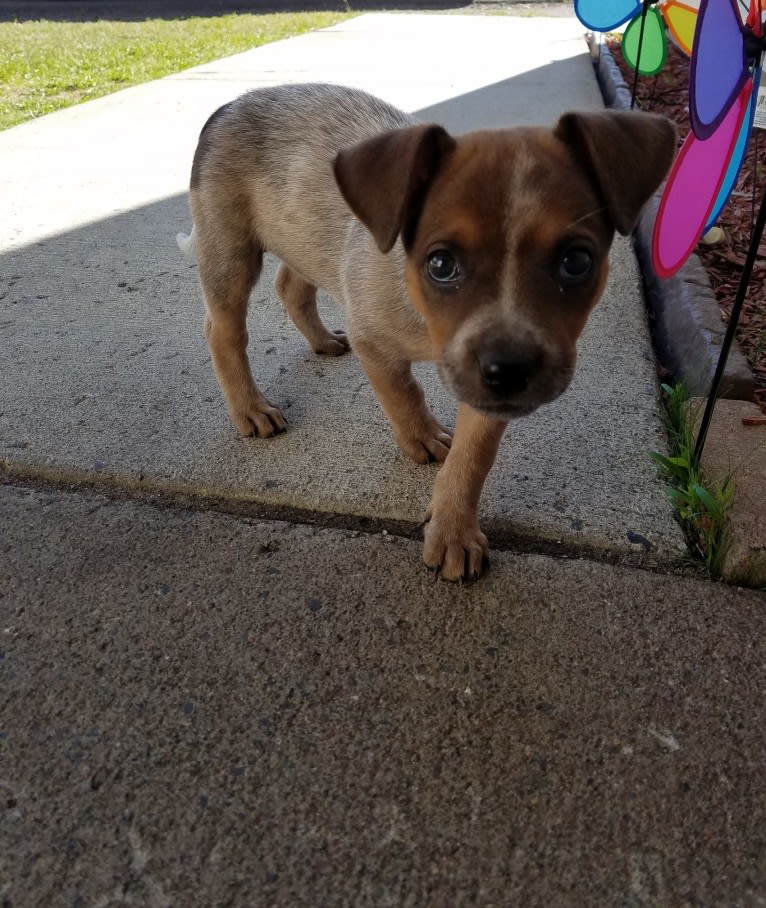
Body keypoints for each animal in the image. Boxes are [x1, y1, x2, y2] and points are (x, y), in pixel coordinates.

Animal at [182, 83, 680, 580]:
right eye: (440, 264)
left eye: (576, 262)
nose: (509, 372)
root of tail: (231, 105)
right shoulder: (376, 343)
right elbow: (404, 395)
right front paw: (420, 438)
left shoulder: (484, 394)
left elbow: (471, 460)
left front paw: (454, 532)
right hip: (230, 252)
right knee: (223, 331)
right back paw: (250, 407)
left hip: (300, 235)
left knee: (291, 286)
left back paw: (322, 341)